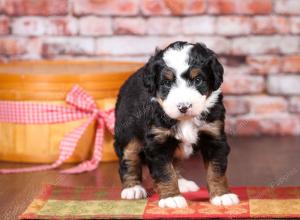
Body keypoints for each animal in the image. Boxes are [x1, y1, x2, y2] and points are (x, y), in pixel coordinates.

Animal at [113, 41, 240, 208]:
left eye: (197, 80)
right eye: (167, 83)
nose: (183, 107)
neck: (186, 119)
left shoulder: (214, 136)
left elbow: (216, 169)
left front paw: (222, 195)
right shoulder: (158, 142)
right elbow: (165, 172)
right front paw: (171, 197)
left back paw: (182, 183)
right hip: (128, 133)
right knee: (129, 158)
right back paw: (132, 188)